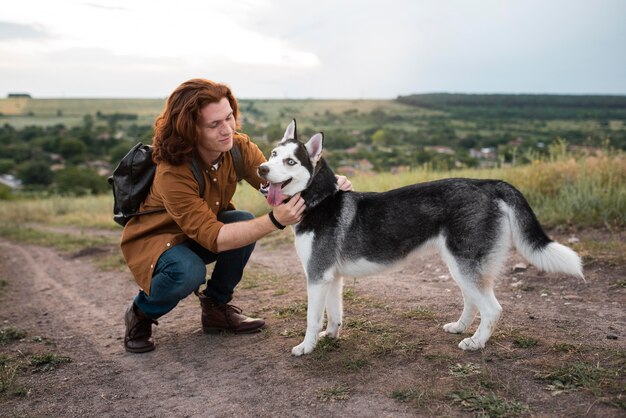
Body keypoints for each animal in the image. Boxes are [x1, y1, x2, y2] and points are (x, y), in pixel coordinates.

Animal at [256, 120, 584, 356]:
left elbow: (312, 318)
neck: (318, 199)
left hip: (464, 264)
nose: (261, 168)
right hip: (459, 266)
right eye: (273, 155)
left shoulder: (316, 276)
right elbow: (334, 314)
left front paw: (306, 347)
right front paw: (331, 336)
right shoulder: (331, 277)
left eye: (290, 162)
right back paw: (460, 327)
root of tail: (488, 183)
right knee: (473, 301)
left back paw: (476, 343)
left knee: (493, 309)